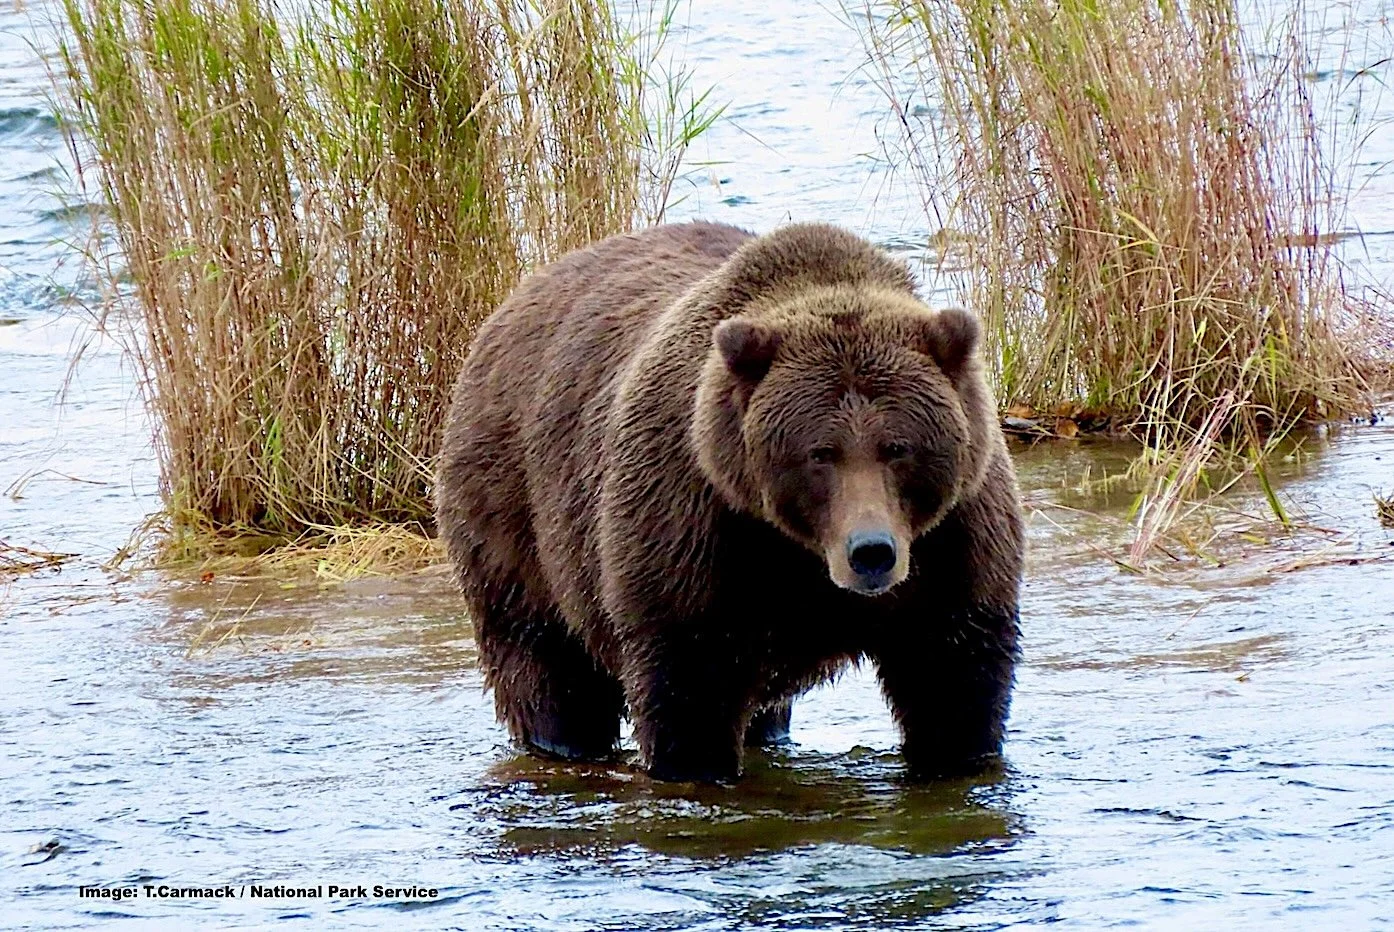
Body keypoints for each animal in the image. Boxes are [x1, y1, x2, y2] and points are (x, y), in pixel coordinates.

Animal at [435, 220, 1024, 783]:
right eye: (820, 452)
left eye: (898, 447)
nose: (871, 552)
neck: (798, 552)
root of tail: (514, 301)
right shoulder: (693, 521)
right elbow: (689, 690)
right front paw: (695, 765)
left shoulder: (954, 542)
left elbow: (953, 683)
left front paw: (955, 758)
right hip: (514, 513)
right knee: (544, 663)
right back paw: (559, 740)